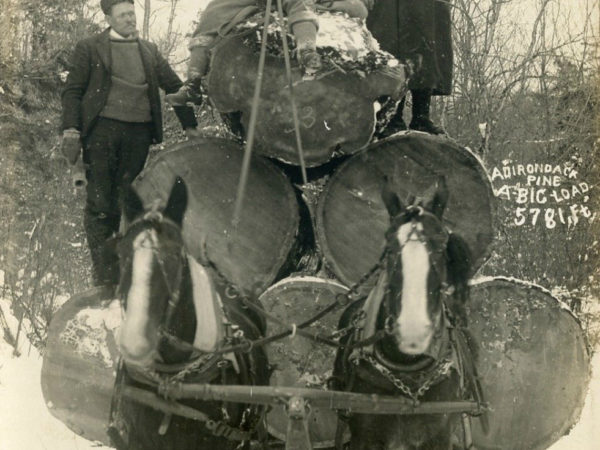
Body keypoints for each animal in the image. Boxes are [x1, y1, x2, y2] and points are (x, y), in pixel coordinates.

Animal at [330, 178, 480, 450]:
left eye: (442, 244)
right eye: (389, 245)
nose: (413, 331)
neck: (408, 376)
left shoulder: (439, 436)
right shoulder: (364, 438)